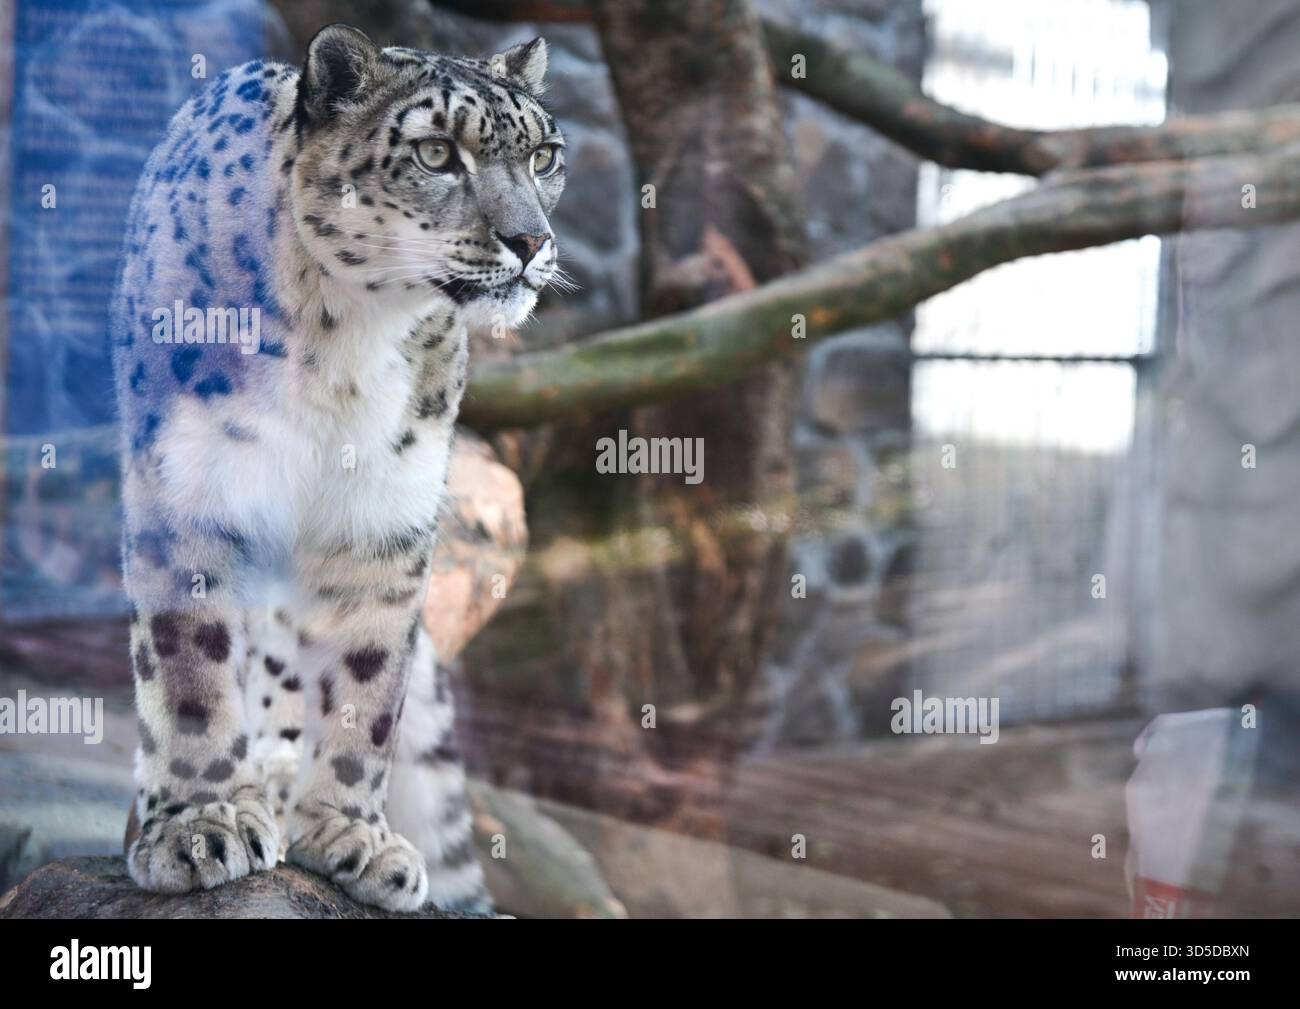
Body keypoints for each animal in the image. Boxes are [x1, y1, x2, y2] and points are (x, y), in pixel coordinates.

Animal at [109, 23, 565, 912]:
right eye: (435, 152)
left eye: (545, 155)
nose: (531, 241)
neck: (346, 338)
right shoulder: (189, 490)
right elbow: (190, 669)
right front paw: (202, 824)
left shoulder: (385, 514)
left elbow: (368, 681)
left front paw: (352, 833)